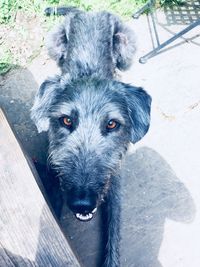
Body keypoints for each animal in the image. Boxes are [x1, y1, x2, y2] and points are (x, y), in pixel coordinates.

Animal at [30, 6, 150, 267]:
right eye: (66, 120)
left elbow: (113, 234)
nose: (82, 203)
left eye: (112, 124)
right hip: (54, 43)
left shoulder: (114, 185)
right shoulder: (56, 175)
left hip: (126, 48)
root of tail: (89, 11)